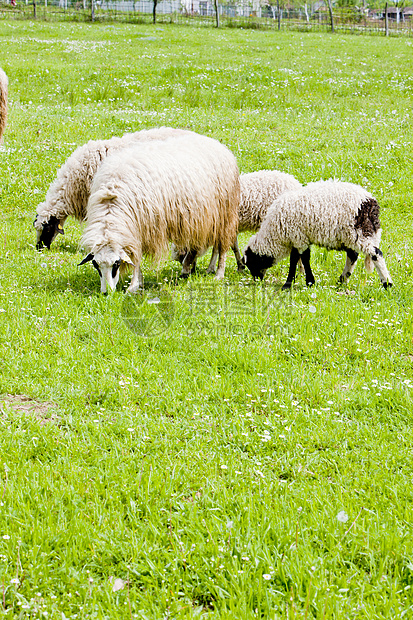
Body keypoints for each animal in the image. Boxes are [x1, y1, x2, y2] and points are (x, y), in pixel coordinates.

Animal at [79, 132, 238, 292]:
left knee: (222, 246)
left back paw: (219, 273)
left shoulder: (143, 227)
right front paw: (139, 282)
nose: (106, 293)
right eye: (95, 265)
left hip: (225, 214)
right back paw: (187, 269)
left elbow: (136, 258)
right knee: (195, 244)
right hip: (198, 217)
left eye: (116, 264)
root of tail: (216, 143)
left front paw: (133, 285)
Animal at [171, 170, 300, 274]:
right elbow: (233, 246)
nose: (192, 271)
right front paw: (240, 266)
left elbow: (218, 249)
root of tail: (295, 183)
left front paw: (211, 268)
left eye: (183, 255)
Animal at [245, 180, 392, 290]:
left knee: (376, 254)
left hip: (359, 233)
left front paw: (306, 282)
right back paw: (341, 281)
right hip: (349, 236)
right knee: (353, 256)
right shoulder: (298, 238)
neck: (276, 234)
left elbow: (302, 259)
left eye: (253, 262)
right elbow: (296, 259)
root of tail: (370, 203)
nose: (256, 280)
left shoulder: (299, 237)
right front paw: (292, 283)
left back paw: (387, 283)